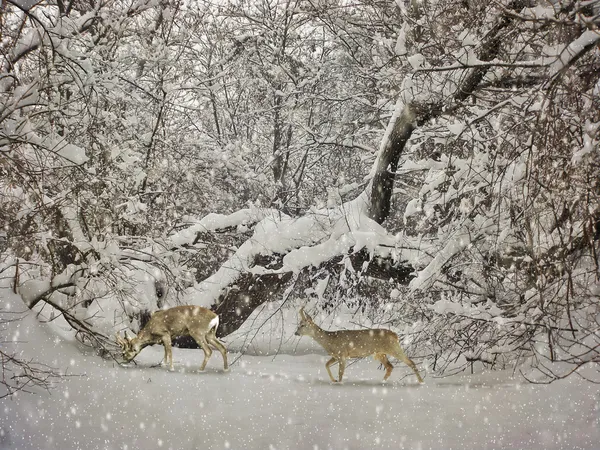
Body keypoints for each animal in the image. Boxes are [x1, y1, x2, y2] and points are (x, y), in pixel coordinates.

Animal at [294, 310, 424, 384]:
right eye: (298, 325)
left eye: (303, 325)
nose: (296, 333)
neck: (330, 341)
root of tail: (395, 335)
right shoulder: (336, 355)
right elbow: (326, 365)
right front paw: (334, 380)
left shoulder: (342, 354)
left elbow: (341, 373)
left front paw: (339, 382)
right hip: (380, 353)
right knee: (390, 366)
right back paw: (382, 381)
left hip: (394, 348)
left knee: (410, 362)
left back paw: (421, 382)